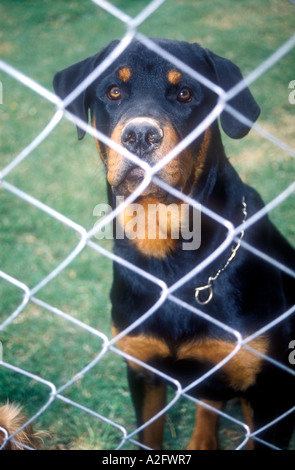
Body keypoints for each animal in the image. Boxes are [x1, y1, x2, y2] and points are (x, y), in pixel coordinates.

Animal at [53, 38, 295, 450]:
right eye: (113, 91)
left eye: (184, 93)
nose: (140, 135)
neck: (171, 260)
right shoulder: (142, 371)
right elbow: (149, 435)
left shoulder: (267, 394)